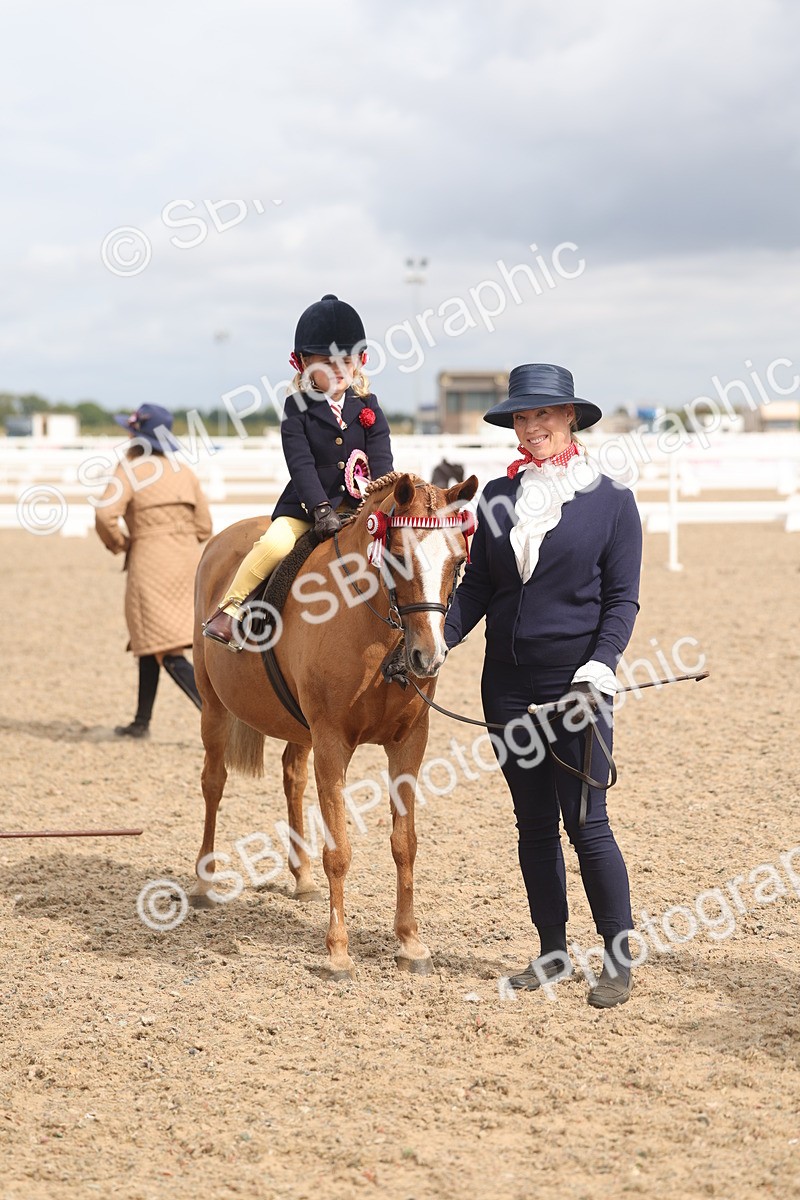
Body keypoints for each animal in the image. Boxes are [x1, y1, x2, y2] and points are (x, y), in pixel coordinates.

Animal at [191, 470, 479, 979]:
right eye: (398, 555)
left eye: (458, 559)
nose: (427, 658)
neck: (370, 625)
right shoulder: (332, 743)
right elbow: (339, 851)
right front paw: (338, 951)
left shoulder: (409, 744)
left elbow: (405, 844)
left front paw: (410, 943)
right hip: (213, 707)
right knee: (214, 783)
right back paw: (205, 883)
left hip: (297, 729)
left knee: (292, 777)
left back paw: (302, 878)